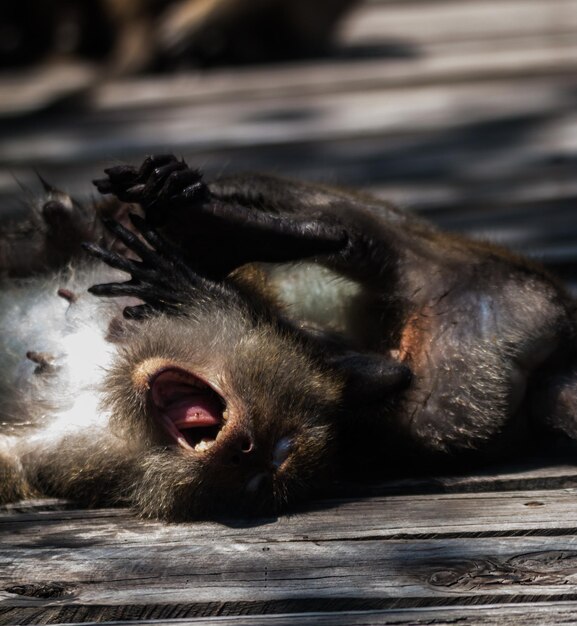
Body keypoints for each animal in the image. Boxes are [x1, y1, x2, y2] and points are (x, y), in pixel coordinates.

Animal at [1, 155, 576, 516]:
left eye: (270, 459)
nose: (242, 449)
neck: (104, 374)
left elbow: (370, 377)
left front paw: (203, 293)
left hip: (475, 323)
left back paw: (216, 230)